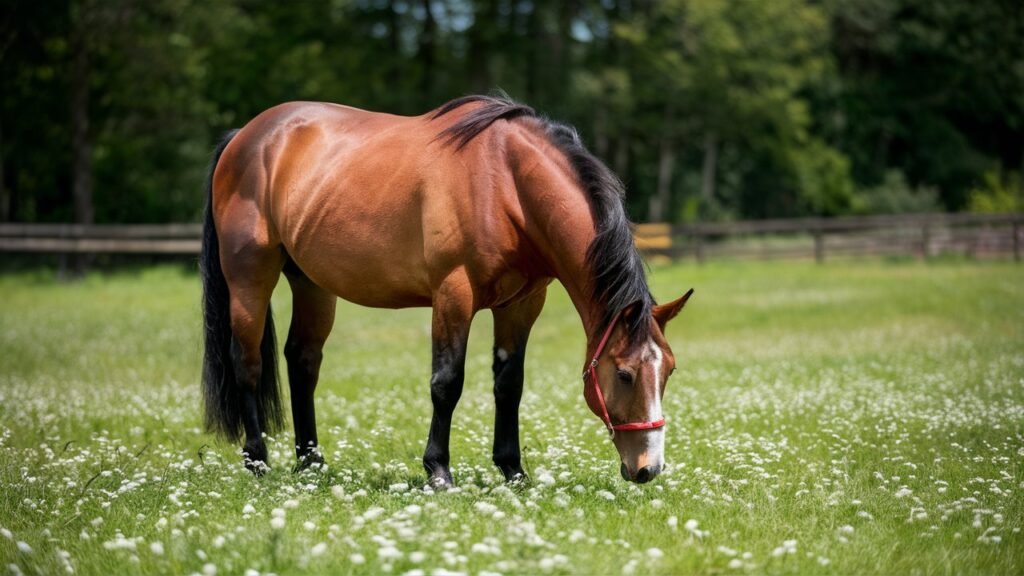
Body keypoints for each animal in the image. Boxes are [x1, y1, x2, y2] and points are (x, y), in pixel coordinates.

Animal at [197, 95, 696, 483]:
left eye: (669, 370)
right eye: (625, 374)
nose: (648, 468)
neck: (506, 185)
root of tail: (246, 136)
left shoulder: (522, 304)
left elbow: (509, 384)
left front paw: (513, 470)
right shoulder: (454, 296)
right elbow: (446, 383)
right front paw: (438, 470)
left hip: (313, 284)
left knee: (302, 362)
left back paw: (312, 463)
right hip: (250, 277)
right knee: (248, 363)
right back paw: (258, 461)